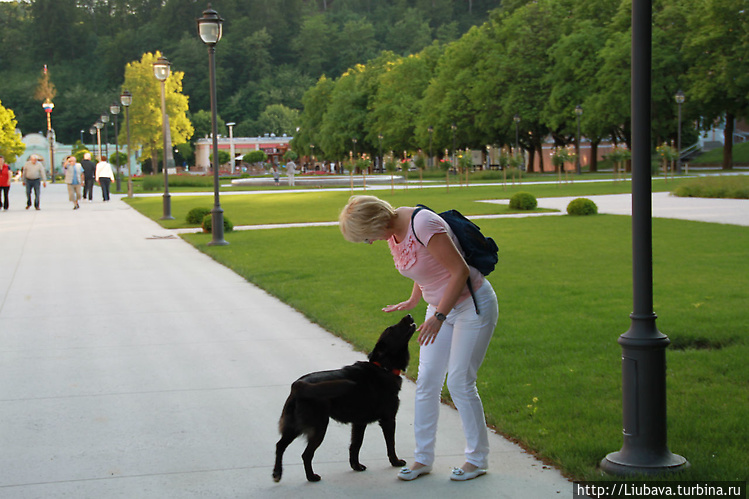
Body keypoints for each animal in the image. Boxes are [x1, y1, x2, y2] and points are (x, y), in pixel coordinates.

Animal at [274, 314, 418, 482]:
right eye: (392, 328)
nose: (409, 315)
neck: (383, 367)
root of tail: (298, 385)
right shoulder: (388, 419)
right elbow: (391, 444)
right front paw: (395, 462)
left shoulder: (359, 423)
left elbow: (355, 445)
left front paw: (356, 466)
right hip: (319, 426)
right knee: (306, 454)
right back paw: (311, 476)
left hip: (295, 425)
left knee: (280, 445)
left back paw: (277, 473)